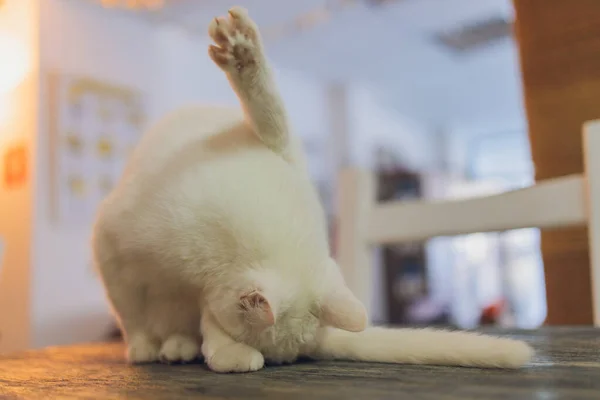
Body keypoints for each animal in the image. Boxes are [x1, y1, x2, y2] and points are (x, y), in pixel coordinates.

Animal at [94, 6, 536, 374]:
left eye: (226, 331)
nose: (222, 352)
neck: (197, 268)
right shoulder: (111, 245)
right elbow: (129, 312)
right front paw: (241, 52)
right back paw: (166, 346)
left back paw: (178, 346)